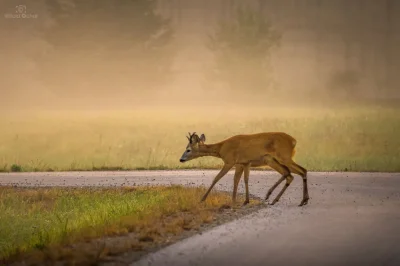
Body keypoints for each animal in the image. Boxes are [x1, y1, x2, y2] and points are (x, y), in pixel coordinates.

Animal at [179, 132, 310, 207]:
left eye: (188, 149)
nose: (181, 159)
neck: (221, 149)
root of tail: (293, 141)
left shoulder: (230, 161)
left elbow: (218, 178)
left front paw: (203, 199)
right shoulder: (244, 162)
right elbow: (244, 179)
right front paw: (244, 200)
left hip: (283, 157)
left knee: (301, 171)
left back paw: (302, 200)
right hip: (276, 160)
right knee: (290, 173)